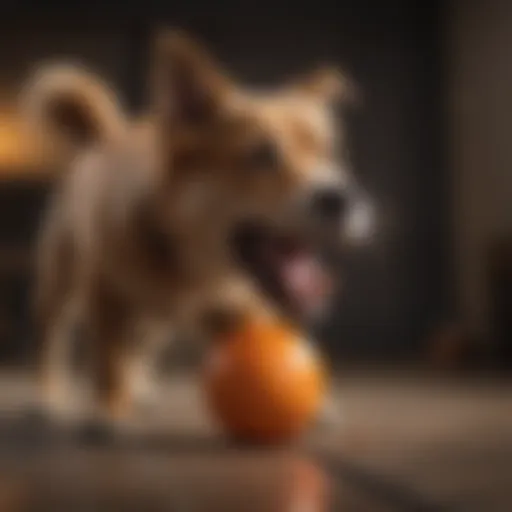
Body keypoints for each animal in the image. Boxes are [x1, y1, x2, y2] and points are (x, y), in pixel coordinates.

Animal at [22, 31, 372, 428]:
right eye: (262, 154)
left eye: (332, 154)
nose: (341, 197)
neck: (189, 260)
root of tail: (105, 137)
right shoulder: (106, 296)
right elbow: (108, 361)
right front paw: (110, 411)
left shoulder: (239, 306)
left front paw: (317, 403)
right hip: (59, 285)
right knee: (52, 338)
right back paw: (48, 395)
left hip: (155, 319)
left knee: (139, 344)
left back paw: (140, 385)